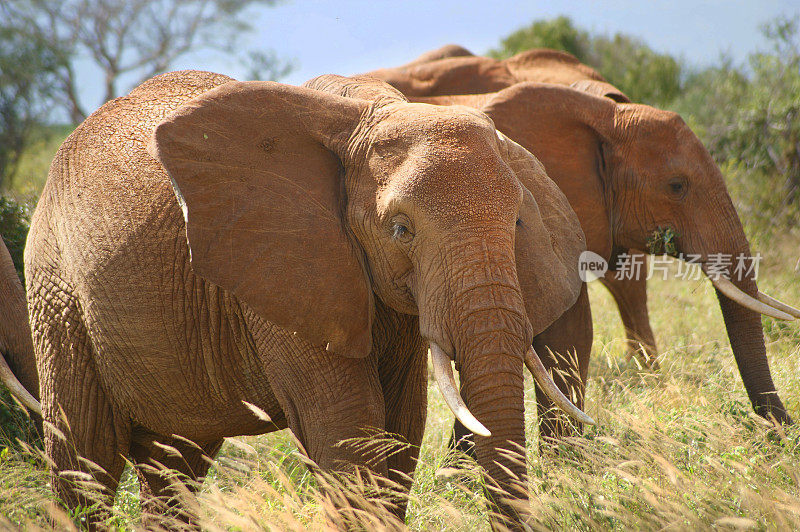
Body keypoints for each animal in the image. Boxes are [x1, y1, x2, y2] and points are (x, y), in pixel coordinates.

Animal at [14, 69, 592, 528]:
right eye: (401, 230)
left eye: (517, 224)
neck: (367, 112)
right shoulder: (283, 263)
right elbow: (349, 424)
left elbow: (400, 429)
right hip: (56, 286)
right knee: (86, 459)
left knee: (173, 464)